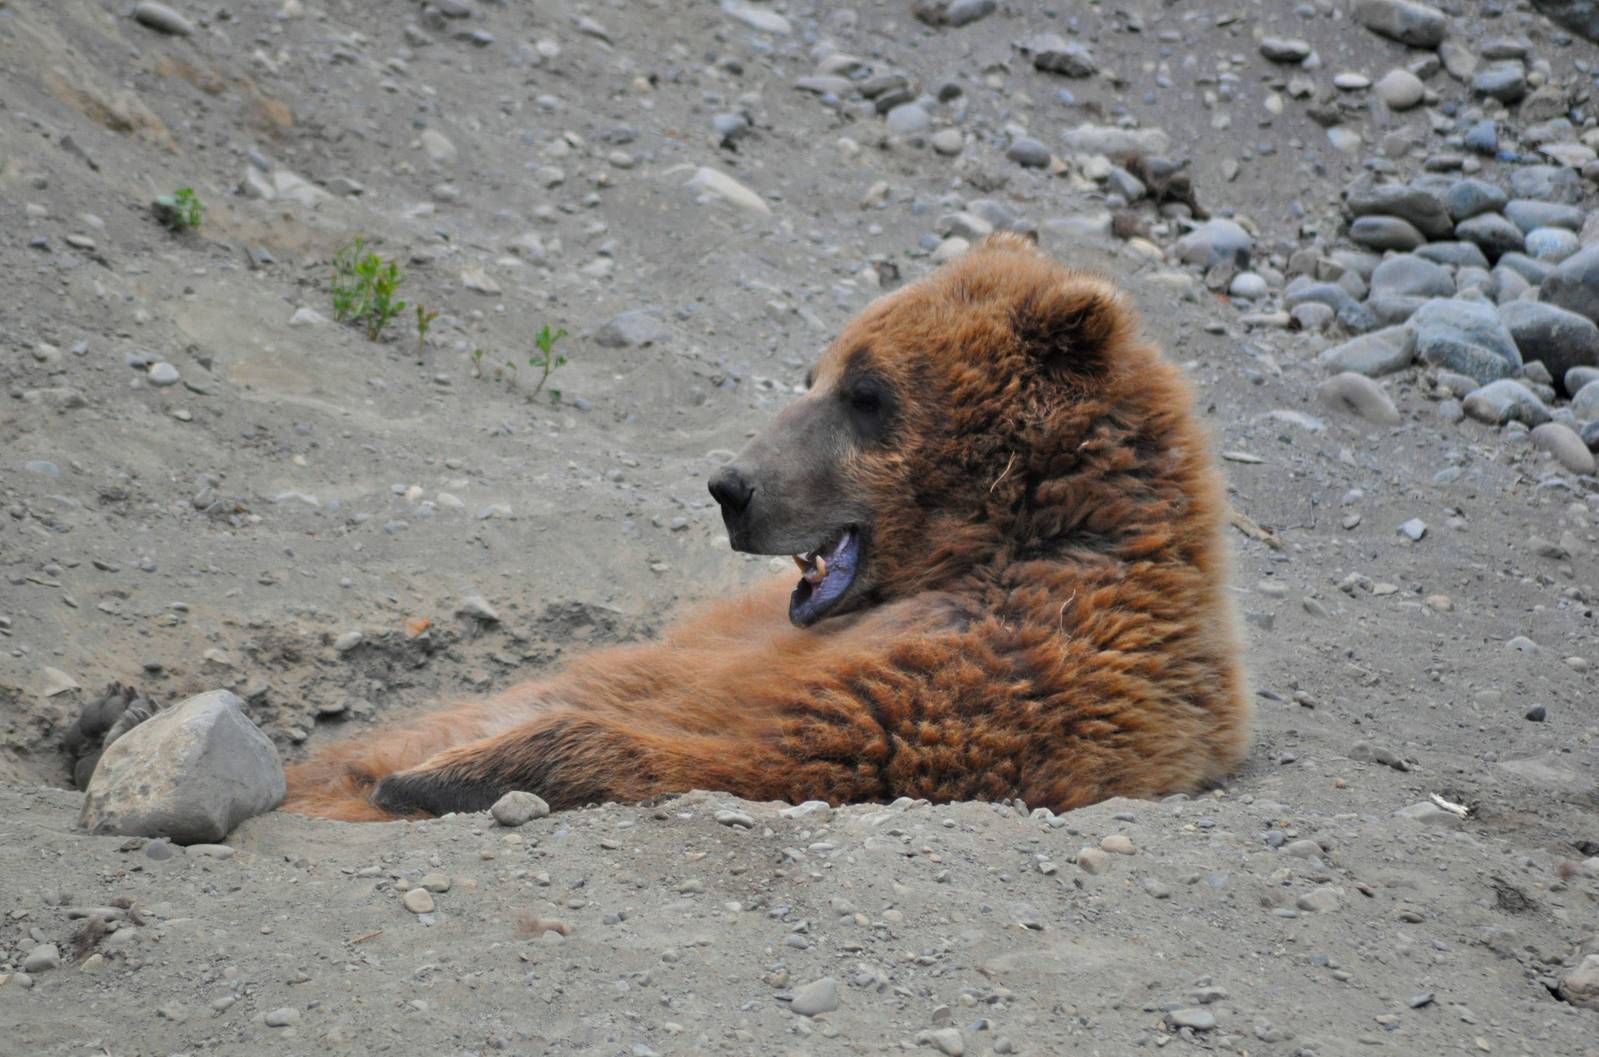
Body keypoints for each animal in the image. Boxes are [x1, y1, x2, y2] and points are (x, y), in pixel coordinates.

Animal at [279, 233, 1250, 821]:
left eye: (868, 391)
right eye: (815, 371)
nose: (730, 485)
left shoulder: (994, 673)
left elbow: (749, 741)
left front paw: (431, 774)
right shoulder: (727, 637)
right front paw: (374, 762)